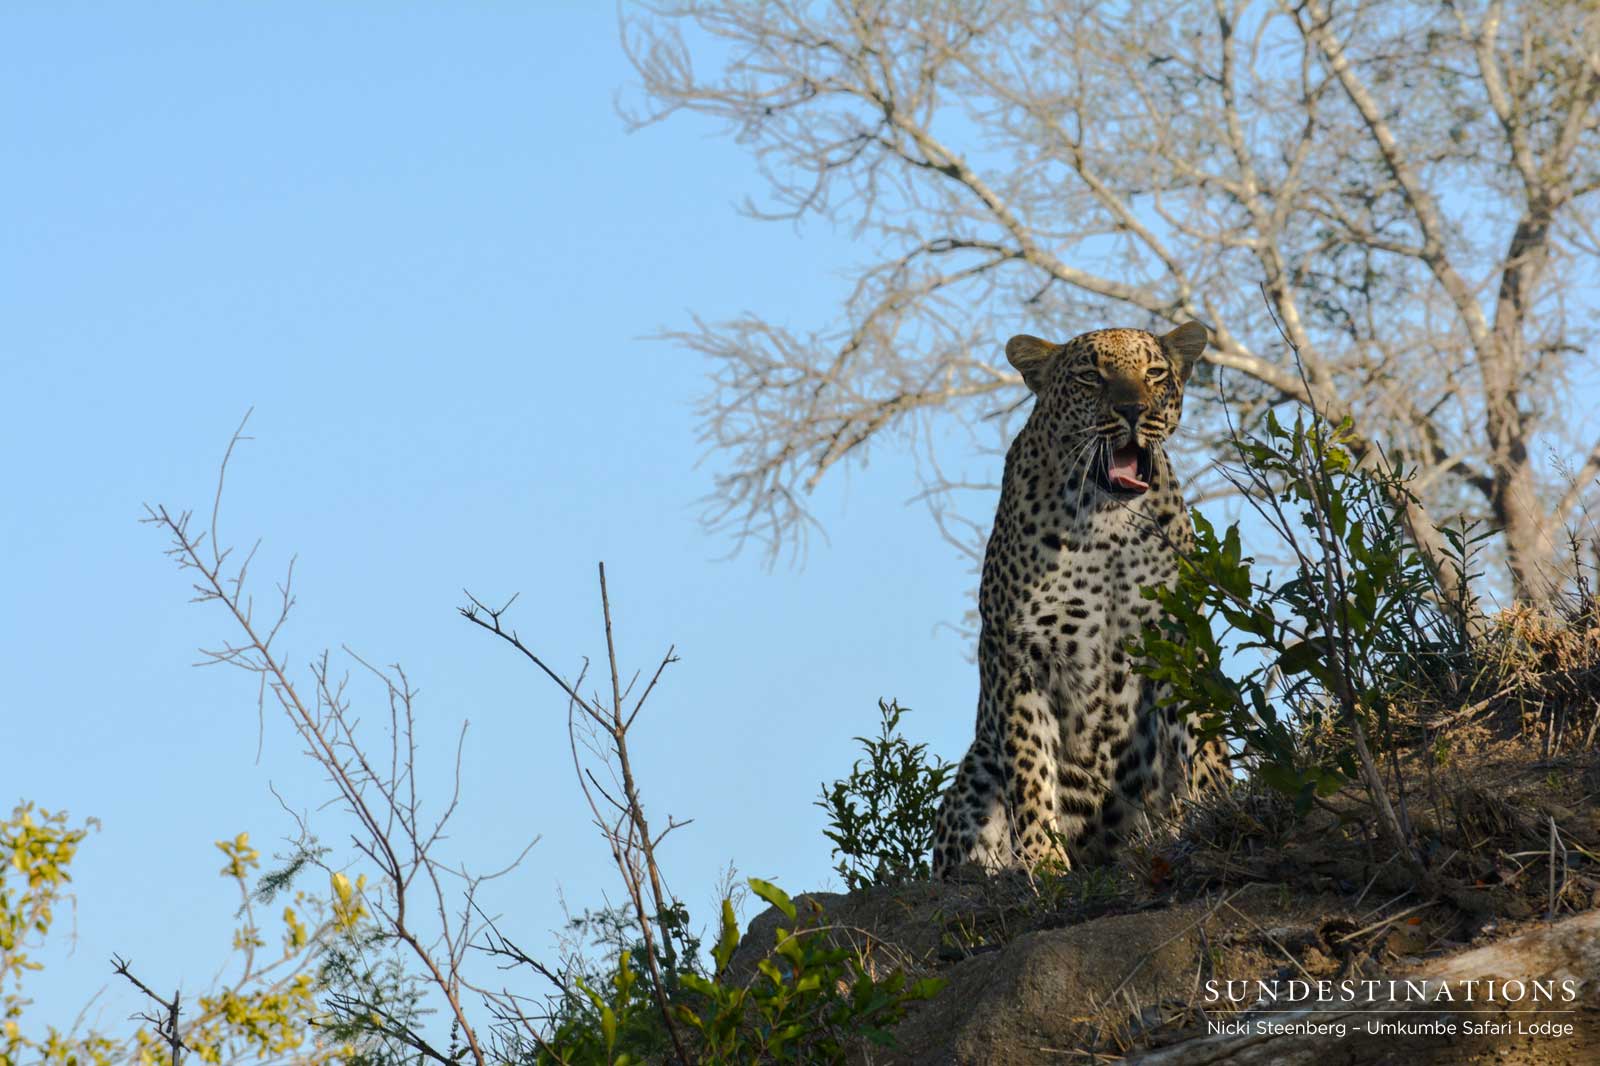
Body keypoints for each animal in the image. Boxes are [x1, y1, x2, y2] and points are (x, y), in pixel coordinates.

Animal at [931, 321, 1231, 877]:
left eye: (1155, 372)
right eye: (1092, 376)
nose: (1133, 410)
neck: (1108, 522)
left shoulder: (1178, 635)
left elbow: (1205, 732)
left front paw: (1222, 803)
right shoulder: (1021, 655)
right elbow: (1030, 765)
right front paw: (1042, 861)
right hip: (976, 766)